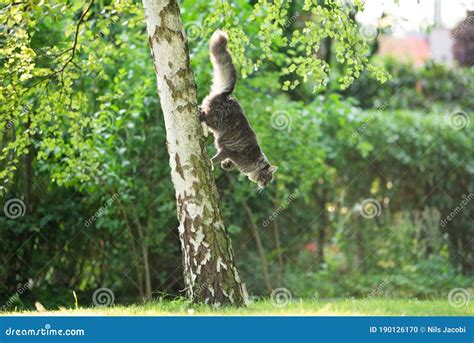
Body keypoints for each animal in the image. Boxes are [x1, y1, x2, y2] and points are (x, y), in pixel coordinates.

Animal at [197, 30, 278, 189]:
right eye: (267, 178)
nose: (265, 186)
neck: (253, 161)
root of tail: (226, 93)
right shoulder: (228, 151)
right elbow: (215, 159)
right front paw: (211, 163)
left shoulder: (229, 155)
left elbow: (228, 164)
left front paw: (226, 165)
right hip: (215, 120)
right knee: (203, 115)